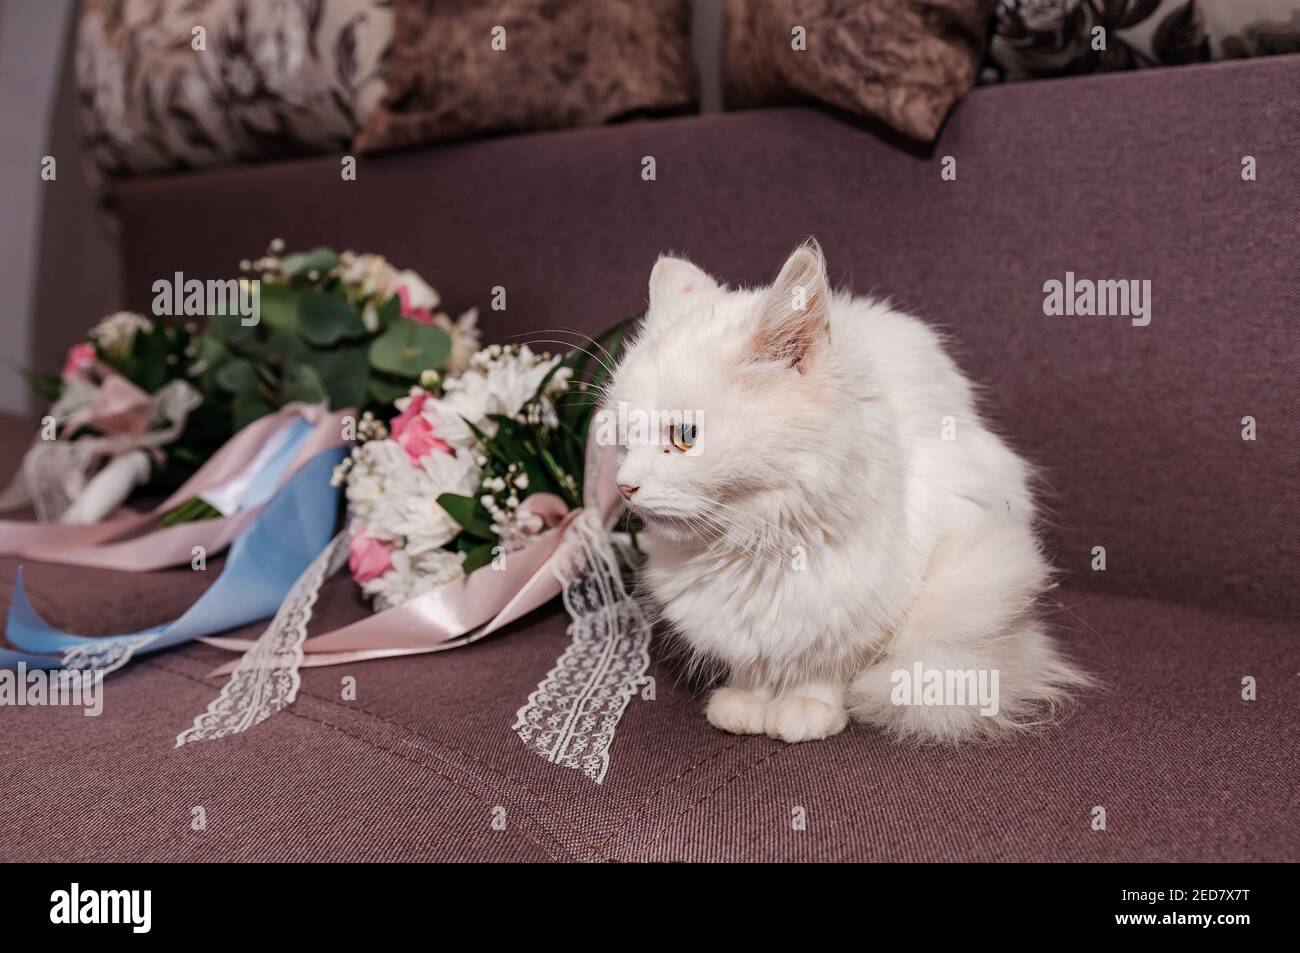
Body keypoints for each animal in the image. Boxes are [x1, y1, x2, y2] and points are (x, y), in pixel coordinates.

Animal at [608, 239, 1086, 743]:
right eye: (624, 437)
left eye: (684, 435)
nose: (625, 486)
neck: (754, 546)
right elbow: (753, 665)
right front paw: (745, 703)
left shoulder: (863, 609)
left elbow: (825, 667)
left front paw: (805, 709)